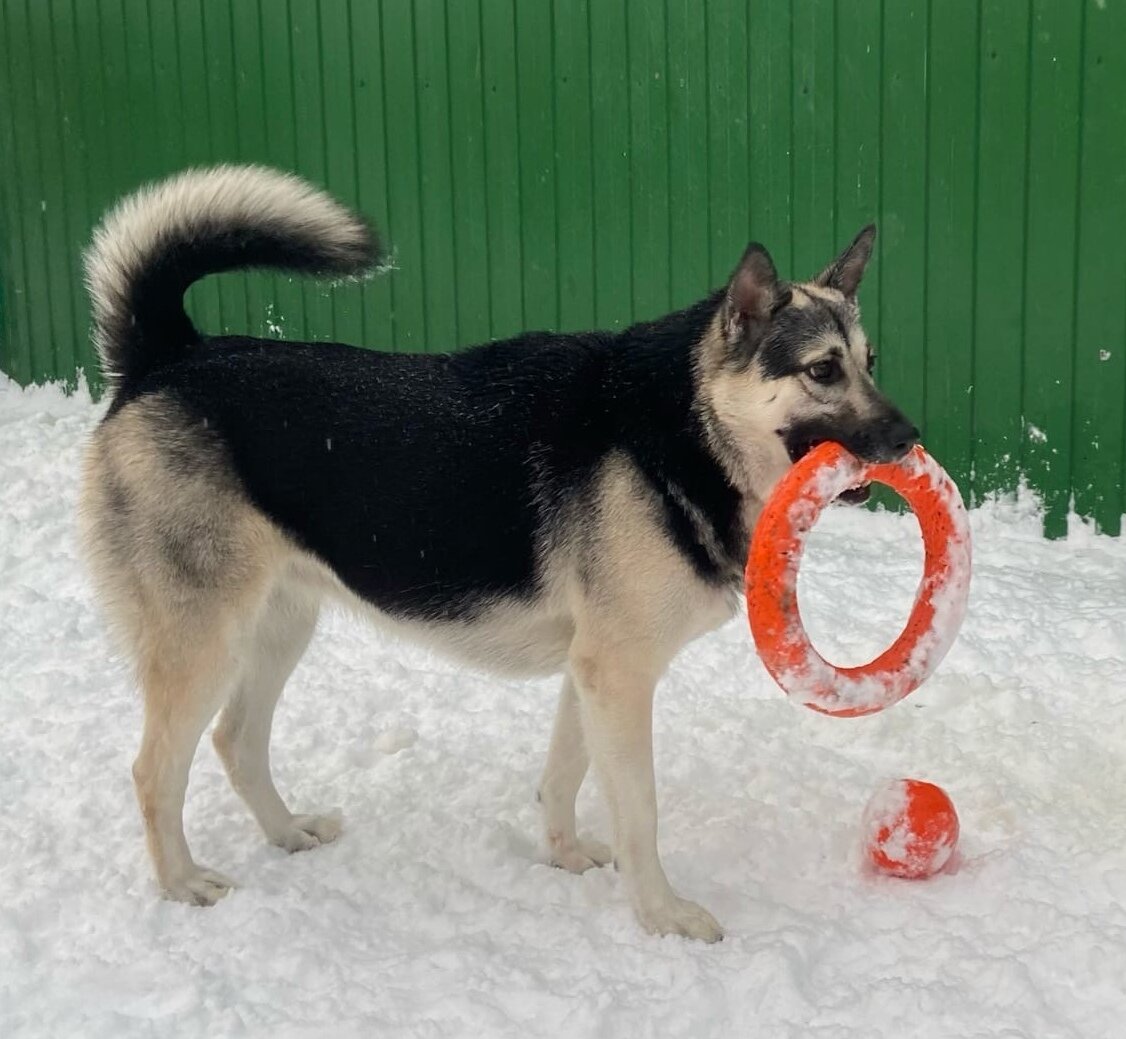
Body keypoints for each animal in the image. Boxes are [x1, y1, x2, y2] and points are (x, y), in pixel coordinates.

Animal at [81, 164, 923, 941]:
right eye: (822, 369)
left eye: (874, 360)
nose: (908, 439)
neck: (685, 425)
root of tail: (166, 356)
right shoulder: (618, 674)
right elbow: (640, 811)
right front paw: (661, 916)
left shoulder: (590, 672)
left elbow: (562, 777)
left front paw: (565, 855)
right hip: (203, 643)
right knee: (154, 770)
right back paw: (183, 883)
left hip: (280, 626)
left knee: (236, 740)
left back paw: (288, 834)